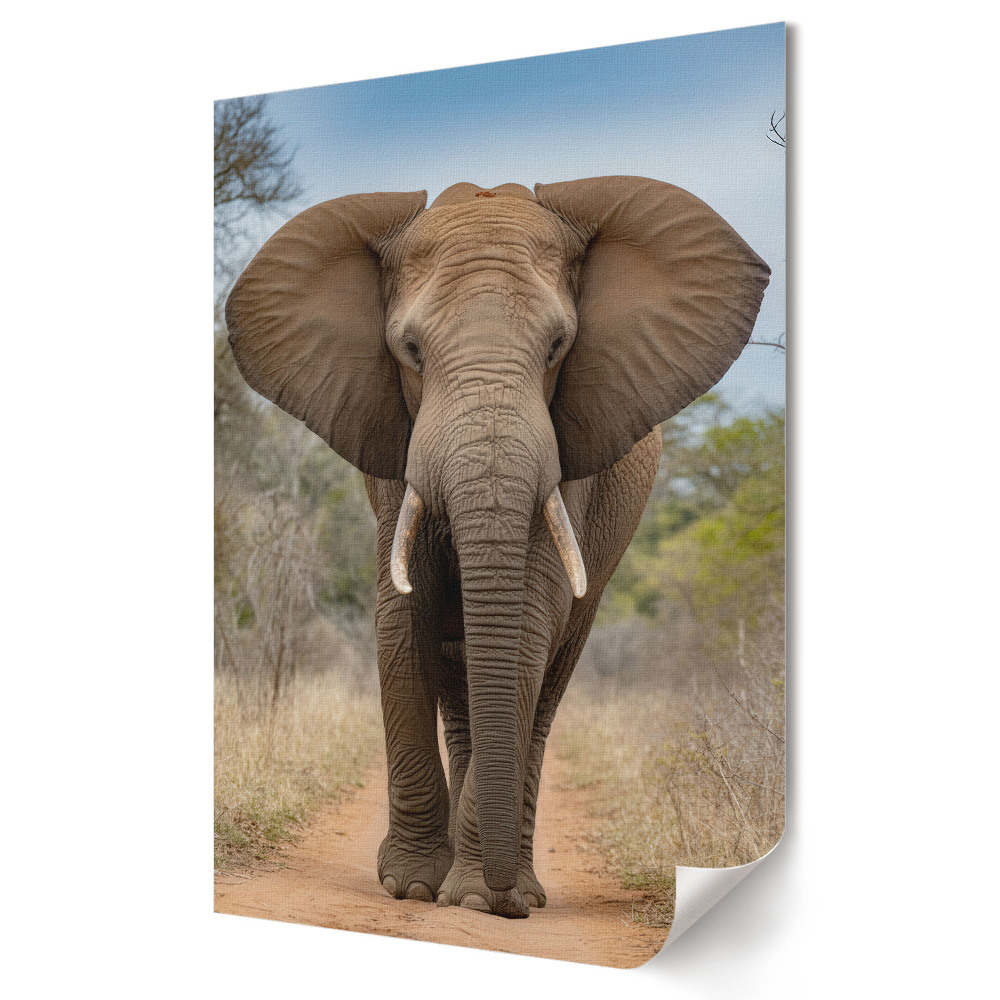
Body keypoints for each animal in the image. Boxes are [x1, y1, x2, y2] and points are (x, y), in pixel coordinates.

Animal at [225, 175, 770, 918]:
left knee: (546, 688)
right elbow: (402, 617)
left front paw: (478, 898)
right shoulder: (393, 440)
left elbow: (528, 624)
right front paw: (413, 885)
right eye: (410, 350)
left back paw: (516, 883)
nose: (507, 900)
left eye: (558, 346)